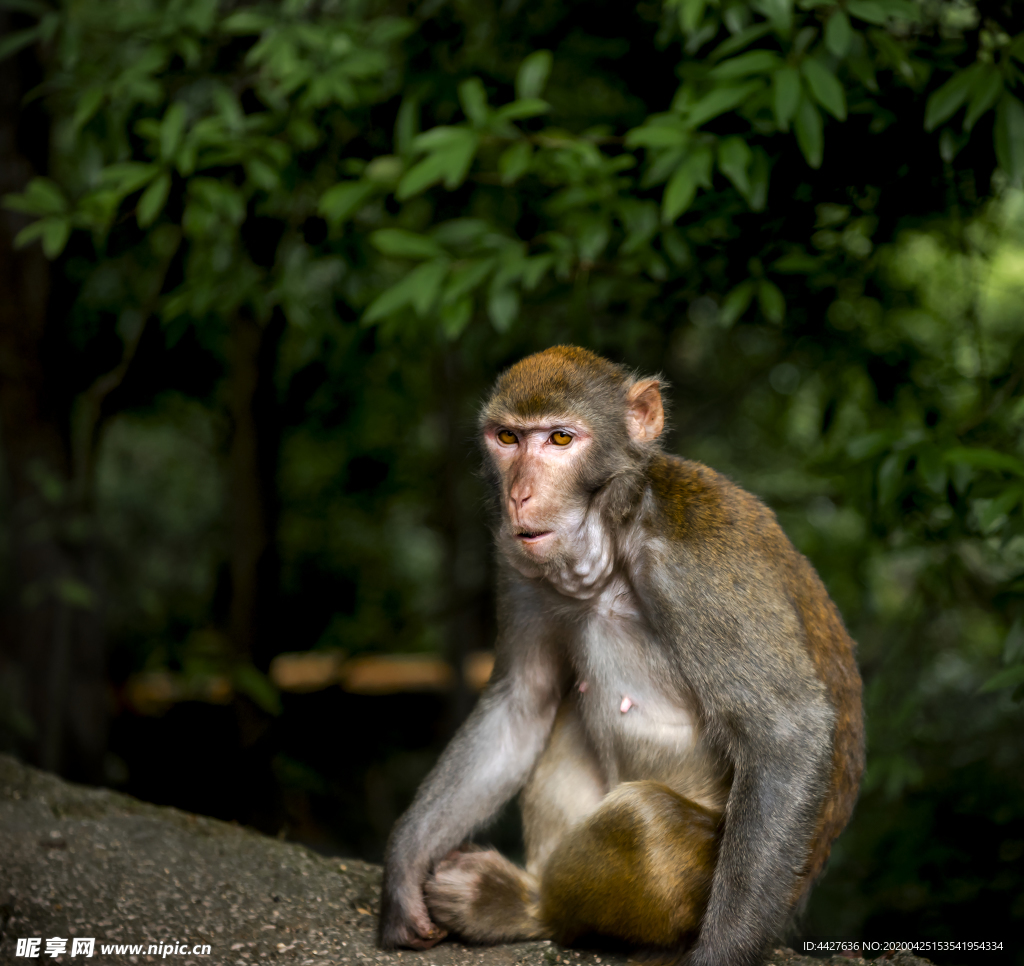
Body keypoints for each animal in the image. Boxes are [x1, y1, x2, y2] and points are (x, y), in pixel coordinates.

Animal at [376, 344, 864, 962]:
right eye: (508, 438)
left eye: (561, 439)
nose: (519, 494)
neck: (613, 533)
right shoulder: (517, 562)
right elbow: (522, 703)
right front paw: (404, 864)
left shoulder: (693, 562)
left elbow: (786, 731)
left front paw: (722, 954)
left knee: (643, 820)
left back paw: (527, 907)